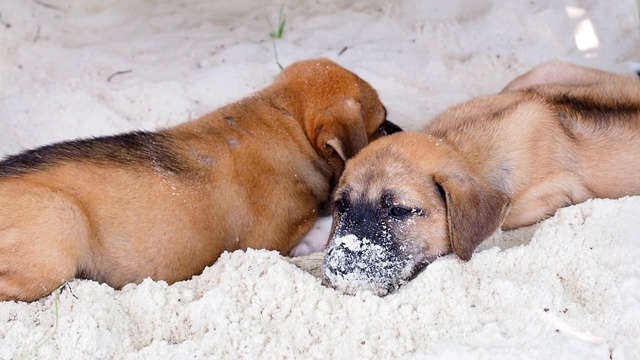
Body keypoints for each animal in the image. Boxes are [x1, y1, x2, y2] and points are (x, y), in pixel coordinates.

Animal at [0, 58, 400, 300]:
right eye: (381, 123)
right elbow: (320, 227)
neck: (287, 121)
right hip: (58, 232)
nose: (401, 130)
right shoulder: (269, 241)